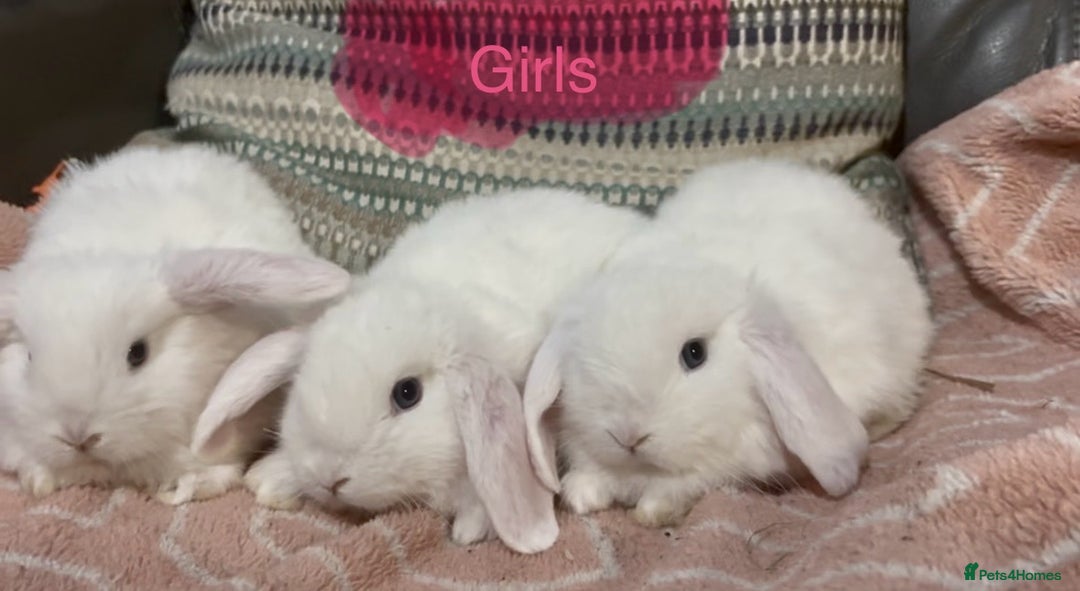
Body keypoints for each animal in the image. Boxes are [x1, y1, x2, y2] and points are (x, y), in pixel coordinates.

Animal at [522, 159, 935, 528]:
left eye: (695, 354)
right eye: (583, 357)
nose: (628, 436)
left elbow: (684, 484)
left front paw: (653, 512)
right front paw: (581, 495)